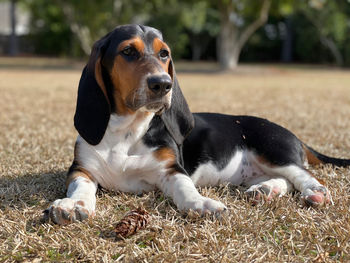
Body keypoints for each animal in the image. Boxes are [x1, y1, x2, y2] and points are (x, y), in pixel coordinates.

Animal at [46, 24, 350, 225]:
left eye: (164, 54)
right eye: (128, 51)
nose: (163, 84)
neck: (128, 132)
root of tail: (295, 136)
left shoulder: (170, 170)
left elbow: (185, 188)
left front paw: (201, 204)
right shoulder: (82, 169)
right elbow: (81, 187)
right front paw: (73, 205)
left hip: (273, 151)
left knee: (304, 175)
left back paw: (315, 193)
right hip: (258, 168)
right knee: (285, 180)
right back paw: (265, 191)